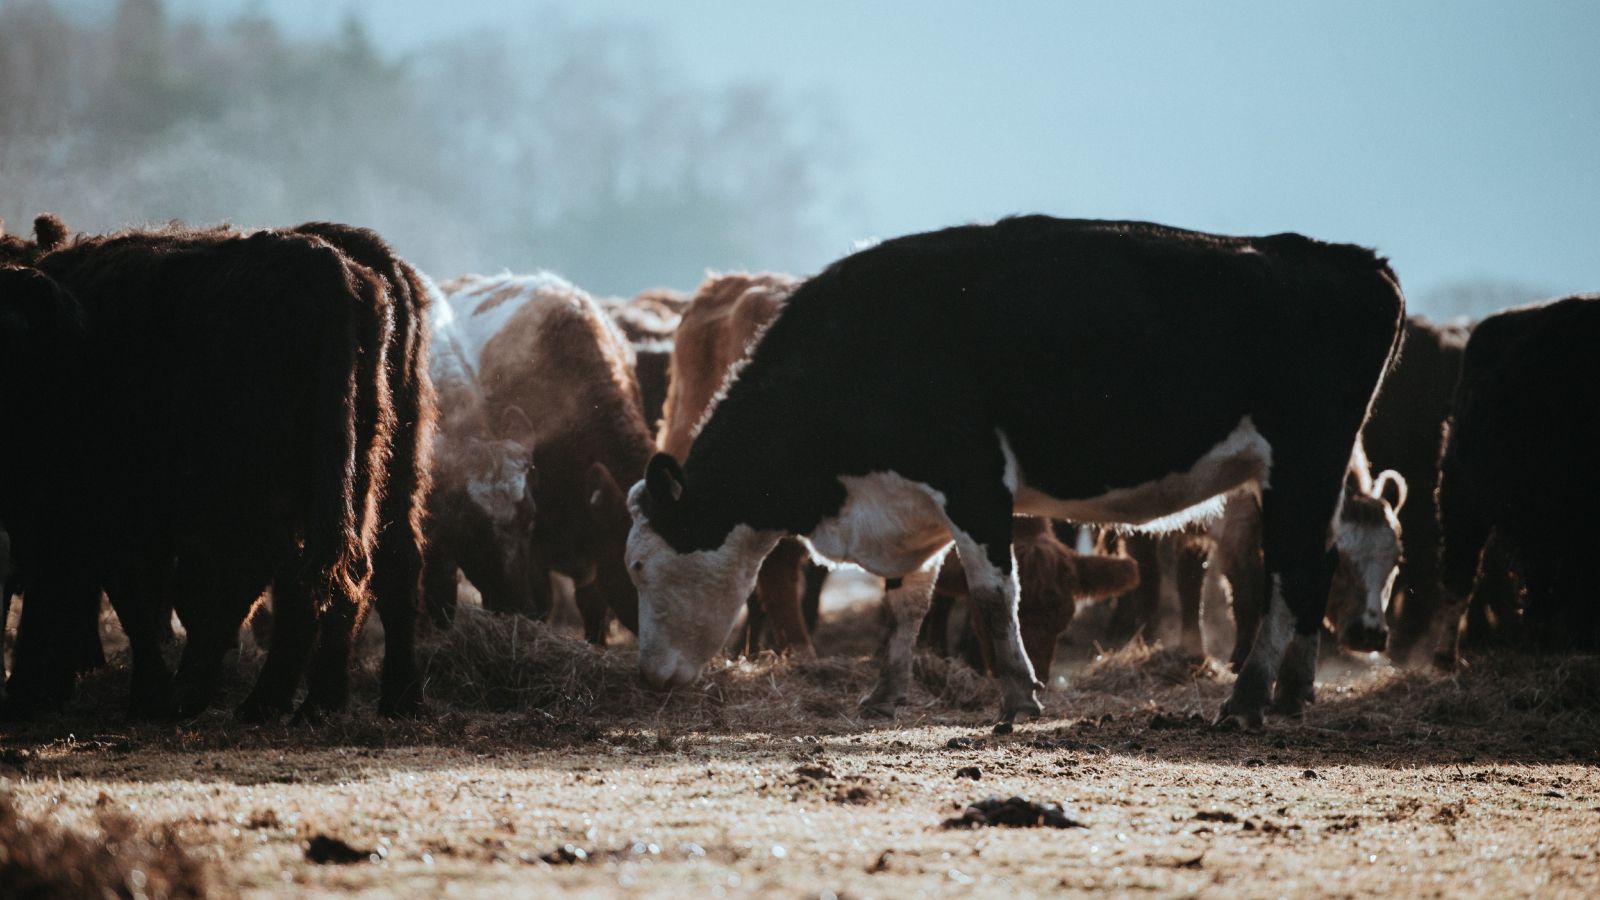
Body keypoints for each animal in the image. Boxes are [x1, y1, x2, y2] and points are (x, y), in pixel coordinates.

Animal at [624, 217, 1401, 730]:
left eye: (637, 564)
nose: (648, 678)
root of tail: (1354, 260)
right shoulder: (911, 505)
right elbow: (905, 605)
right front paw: (883, 696)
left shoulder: (973, 483)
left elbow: (997, 595)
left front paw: (1019, 697)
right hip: (1315, 477)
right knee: (1317, 565)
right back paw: (1294, 690)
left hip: (1302, 463)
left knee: (1290, 572)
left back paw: (1246, 701)